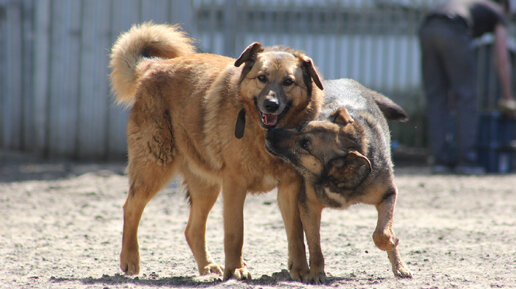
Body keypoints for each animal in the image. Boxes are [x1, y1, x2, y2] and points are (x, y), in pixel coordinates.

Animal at [109, 22, 322, 280]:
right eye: (262, 78)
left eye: (288, 82)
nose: (270, 105)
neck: (263, 134)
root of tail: (153, 66)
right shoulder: (234, 185)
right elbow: (235, 233)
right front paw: (236, 269)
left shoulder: (290, 187)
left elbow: (296, 234)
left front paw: (300, 270)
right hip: (154, 166)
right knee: (131, 208)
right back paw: (130, 260)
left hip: (206, 185)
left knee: (192, 230)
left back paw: (208, 266)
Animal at [268, 78, 414, 282]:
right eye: (300, 126)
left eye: (305, 144)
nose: (269, 133)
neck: (337, 178)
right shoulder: (309, 205)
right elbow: (314, 245)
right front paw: (316, 273)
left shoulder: (388, 194)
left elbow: (382, 232)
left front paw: (391, 242)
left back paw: (400, 267)